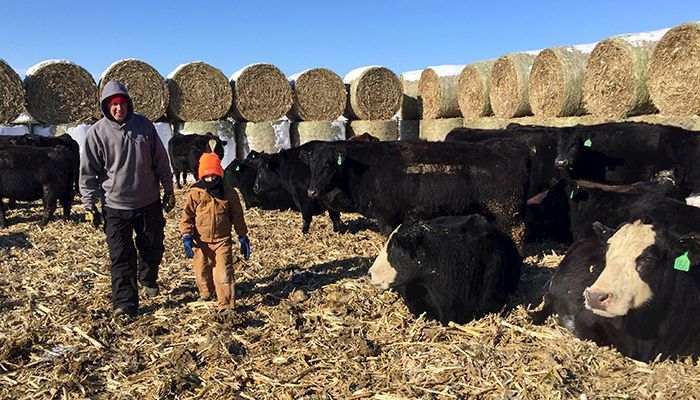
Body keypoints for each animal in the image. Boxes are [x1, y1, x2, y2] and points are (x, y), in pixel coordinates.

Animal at [304, 139, 528, 248]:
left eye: (328, 165)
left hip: (508, 213)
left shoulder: (386, 216)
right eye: (311, 165)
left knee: (518, 232)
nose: (311, 191)